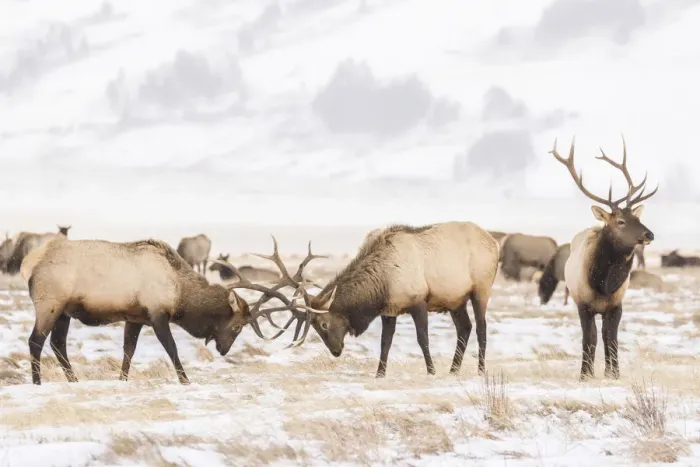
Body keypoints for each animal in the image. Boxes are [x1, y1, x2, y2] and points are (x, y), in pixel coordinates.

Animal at [238, 222, 500, 378]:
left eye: (323, 324)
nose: (336, 351)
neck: (381, 284)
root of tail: (495, 243)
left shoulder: (418, 300)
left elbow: (422, 338)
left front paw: (431, 370)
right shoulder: (390, 309)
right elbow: (385, 343)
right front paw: (379, 374)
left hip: (481, 288)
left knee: (481, 327)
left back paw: (480, 370)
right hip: (456, 299)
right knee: (465, 327)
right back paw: (454, 370)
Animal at [550, 135, 657, 381]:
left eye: (637, 218)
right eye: (621, 221)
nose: (649, 234)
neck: (603, 284)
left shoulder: (616, 304)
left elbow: (612, 338)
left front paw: (613, 373)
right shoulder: (583, 304)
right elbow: (589, 338)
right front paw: (585, 374)